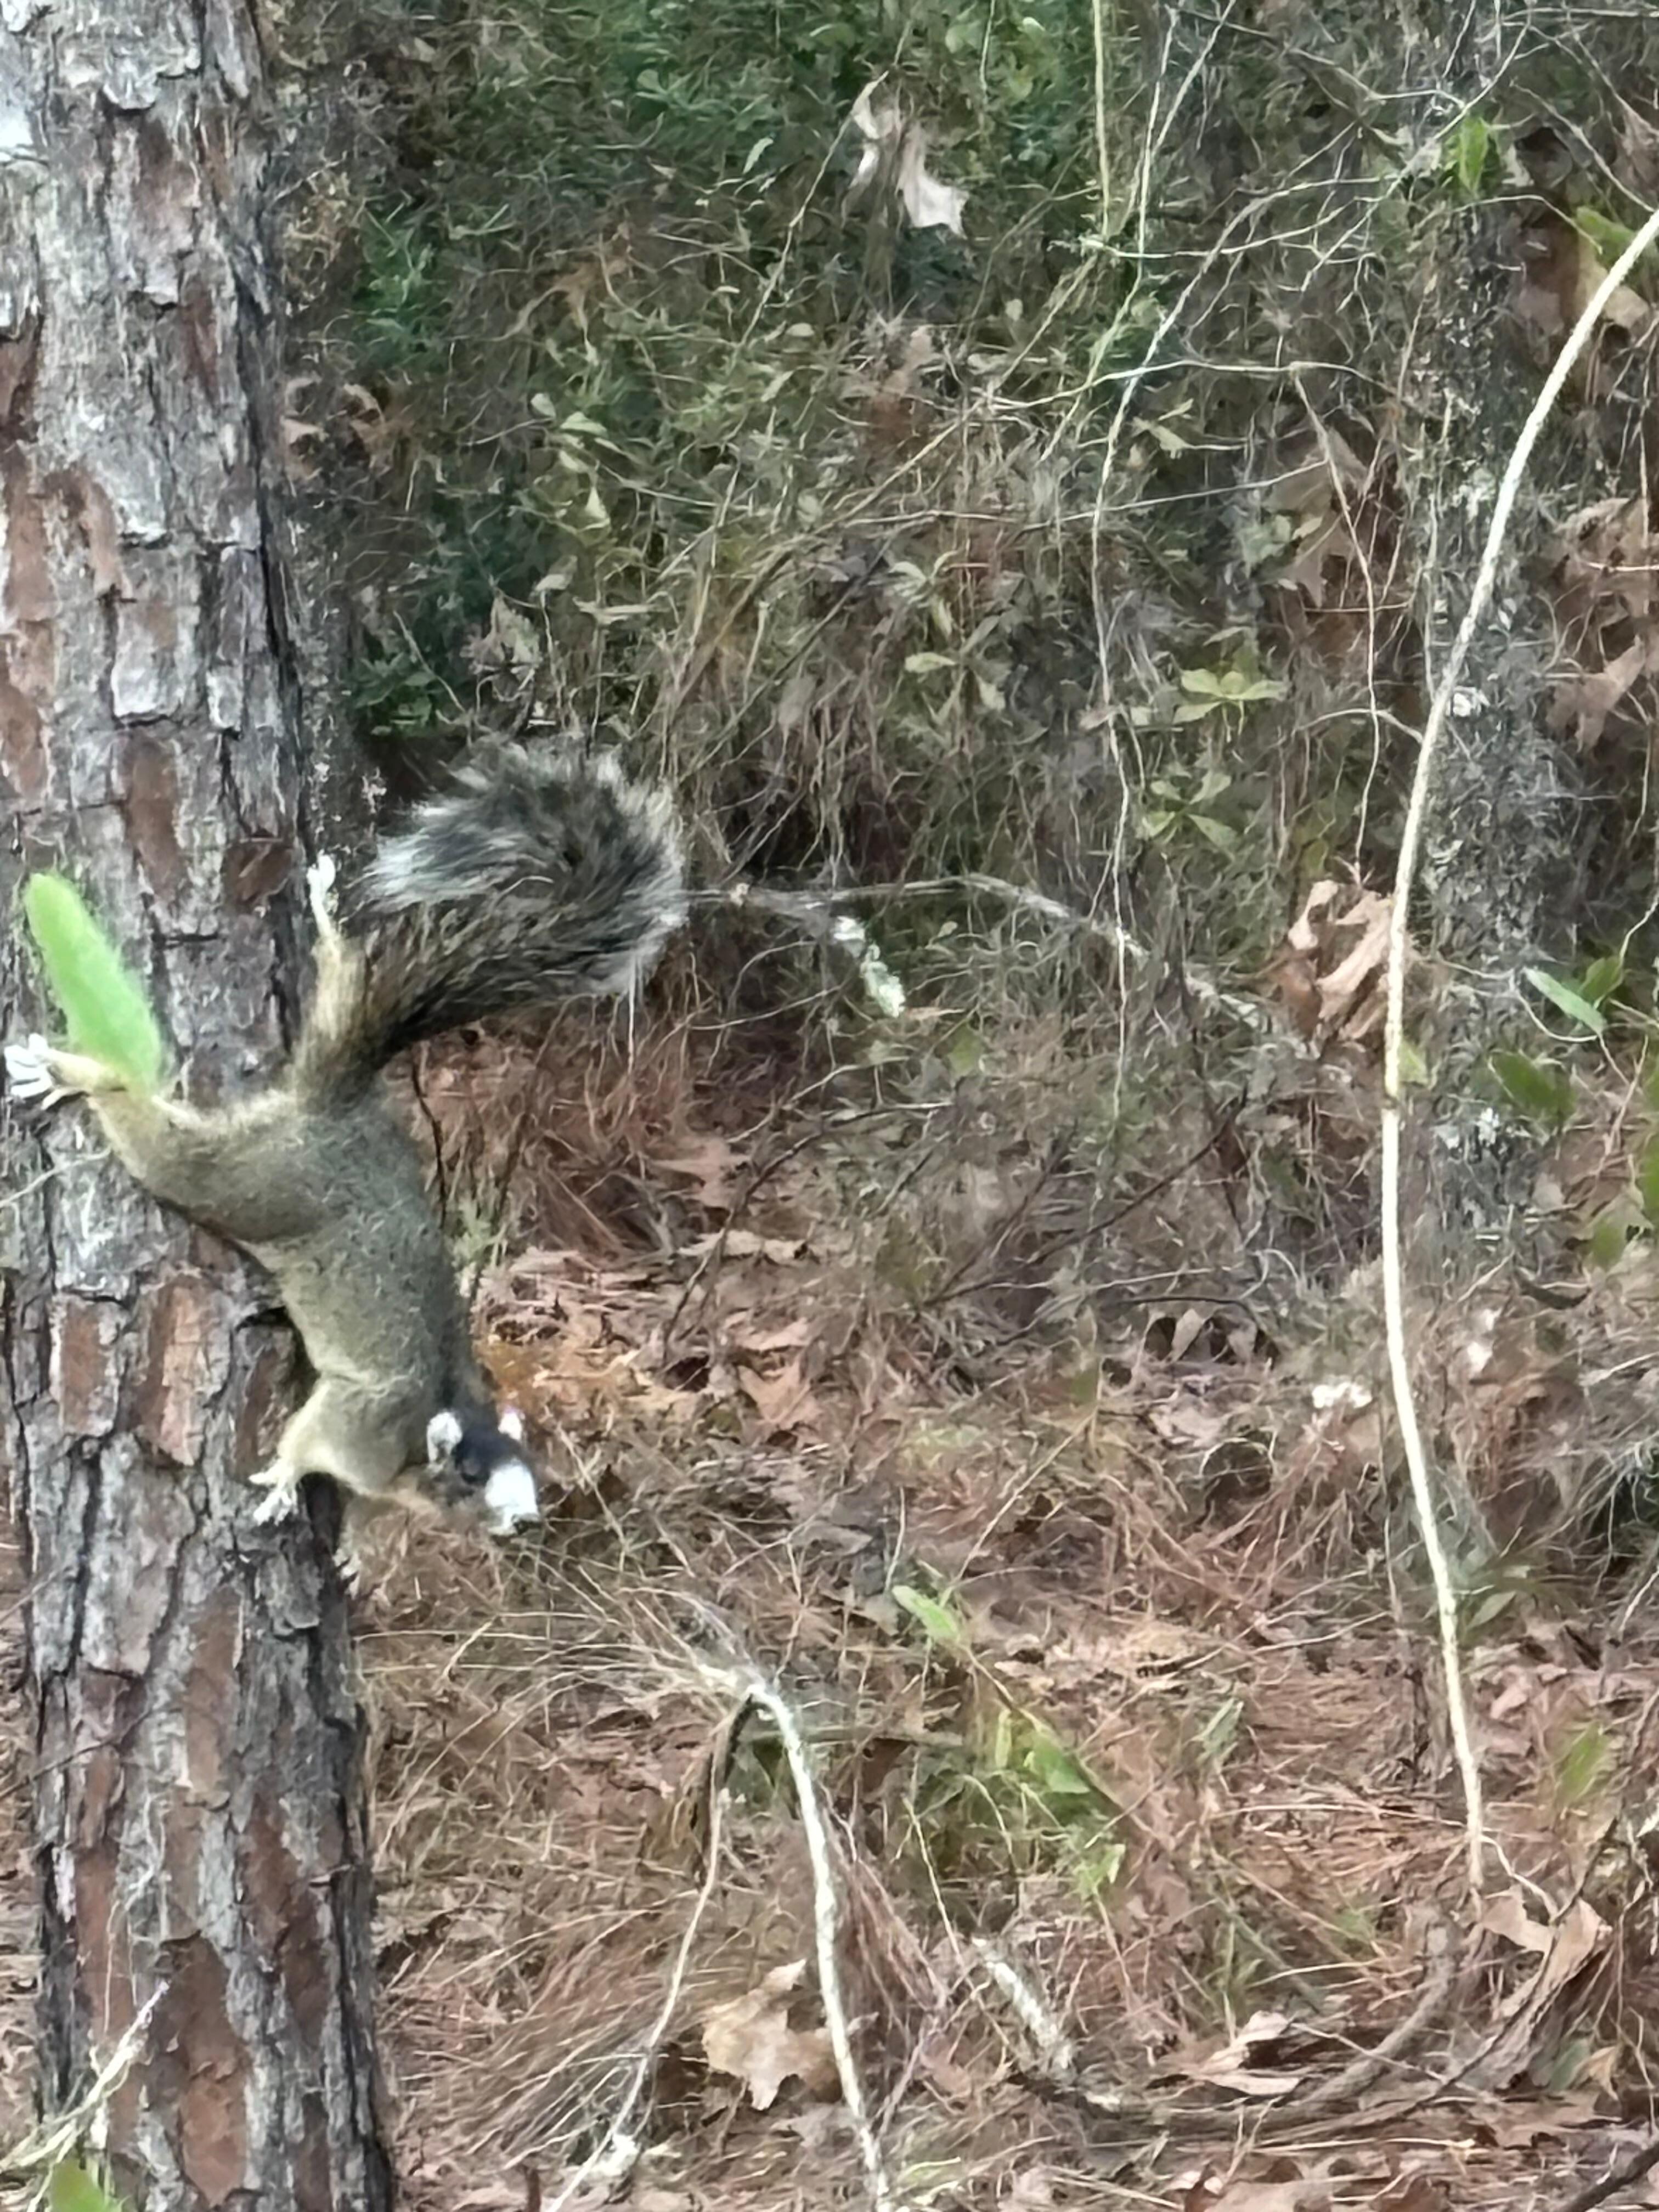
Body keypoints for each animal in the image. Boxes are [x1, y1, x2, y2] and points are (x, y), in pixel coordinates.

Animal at [6, 744, 685, 1572]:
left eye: (533, 1471)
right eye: (470, 1476)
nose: (525, 1520)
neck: (429, 1437)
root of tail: (339, 1106)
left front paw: (355, 1546)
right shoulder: (359, 1424)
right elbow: (310, 1441)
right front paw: (284, 1480)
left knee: (341, 978)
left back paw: (329, 920)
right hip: (259, 1181)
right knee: (167, 1148)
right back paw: (78, 1075)